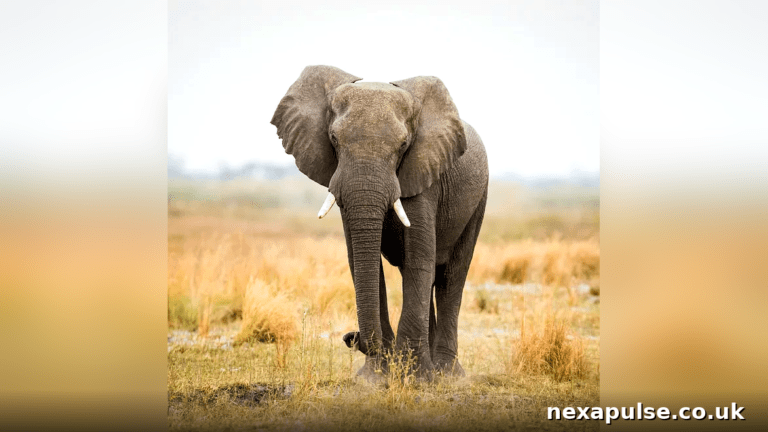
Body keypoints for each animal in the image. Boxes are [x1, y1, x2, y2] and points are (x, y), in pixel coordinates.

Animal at [271, 65, 488, 382]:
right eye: (334, 139)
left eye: (403, 145)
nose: (351, 336)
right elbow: (362, 260)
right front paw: (375, 378)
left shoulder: (423, 172)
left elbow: (420, 257)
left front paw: (415, 379)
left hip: (479, 198)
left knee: (450, 276)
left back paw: (447, 375)